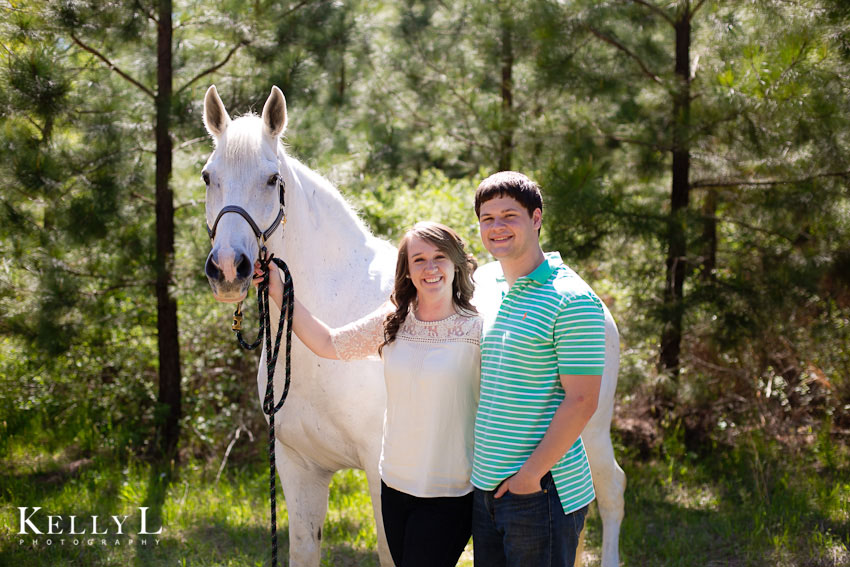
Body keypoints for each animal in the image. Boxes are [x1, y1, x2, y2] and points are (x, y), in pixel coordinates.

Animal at [199, 85, 624, 567]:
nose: (228, 268)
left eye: (272, 179)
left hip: (591, 430)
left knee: (611, 491)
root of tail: (590, 297)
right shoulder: (298, 467)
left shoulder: (377, 474)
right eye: (208, 177)